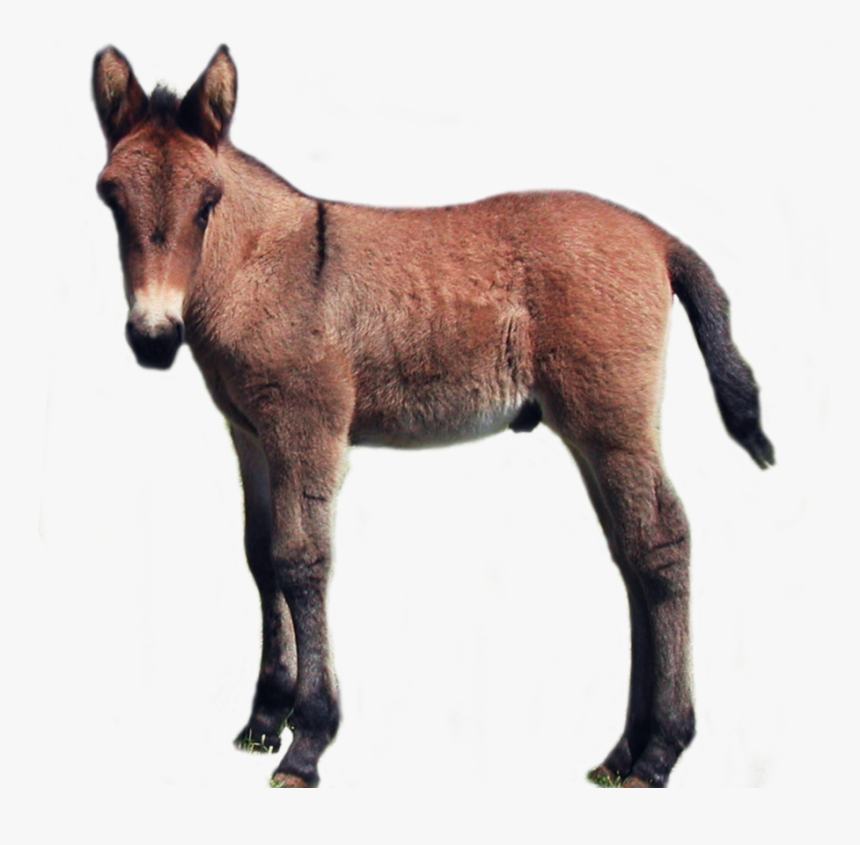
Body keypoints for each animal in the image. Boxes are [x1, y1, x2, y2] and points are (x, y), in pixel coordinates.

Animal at [92, 45, 774, 788]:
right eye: (111, 198)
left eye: (207, 203)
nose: (153, 338)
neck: (258, 266)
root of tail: (657, 236)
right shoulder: (251, 436)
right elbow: (260, 558)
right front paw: (264, 721)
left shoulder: (307, 428)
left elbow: (301, 562)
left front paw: (308, 740)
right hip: (589, 430)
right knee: (632, 554)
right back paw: (624, 752)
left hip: (613, 421)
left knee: (662, 543)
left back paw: (659, 751)